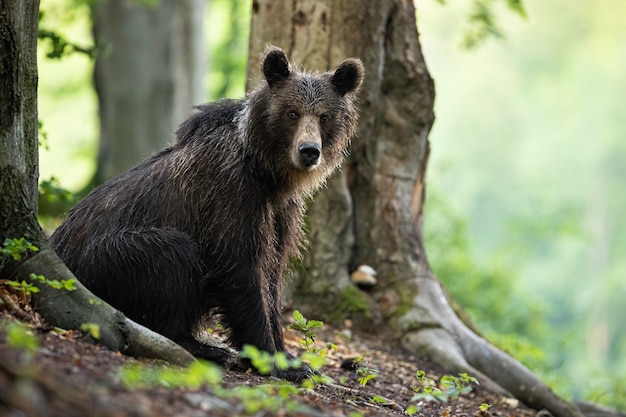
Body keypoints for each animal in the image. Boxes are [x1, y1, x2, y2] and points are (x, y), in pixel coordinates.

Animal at [51, 45, 364, 380]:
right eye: (292, 113)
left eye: (324, 116)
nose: (309, 151)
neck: (266, 172)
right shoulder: (230, 195)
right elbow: (241, 270)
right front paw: (273, 360)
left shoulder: (280, 213)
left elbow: (272, 277)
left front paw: (292, 359)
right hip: (107, 259)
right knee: (171, 256)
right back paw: (202, 346)